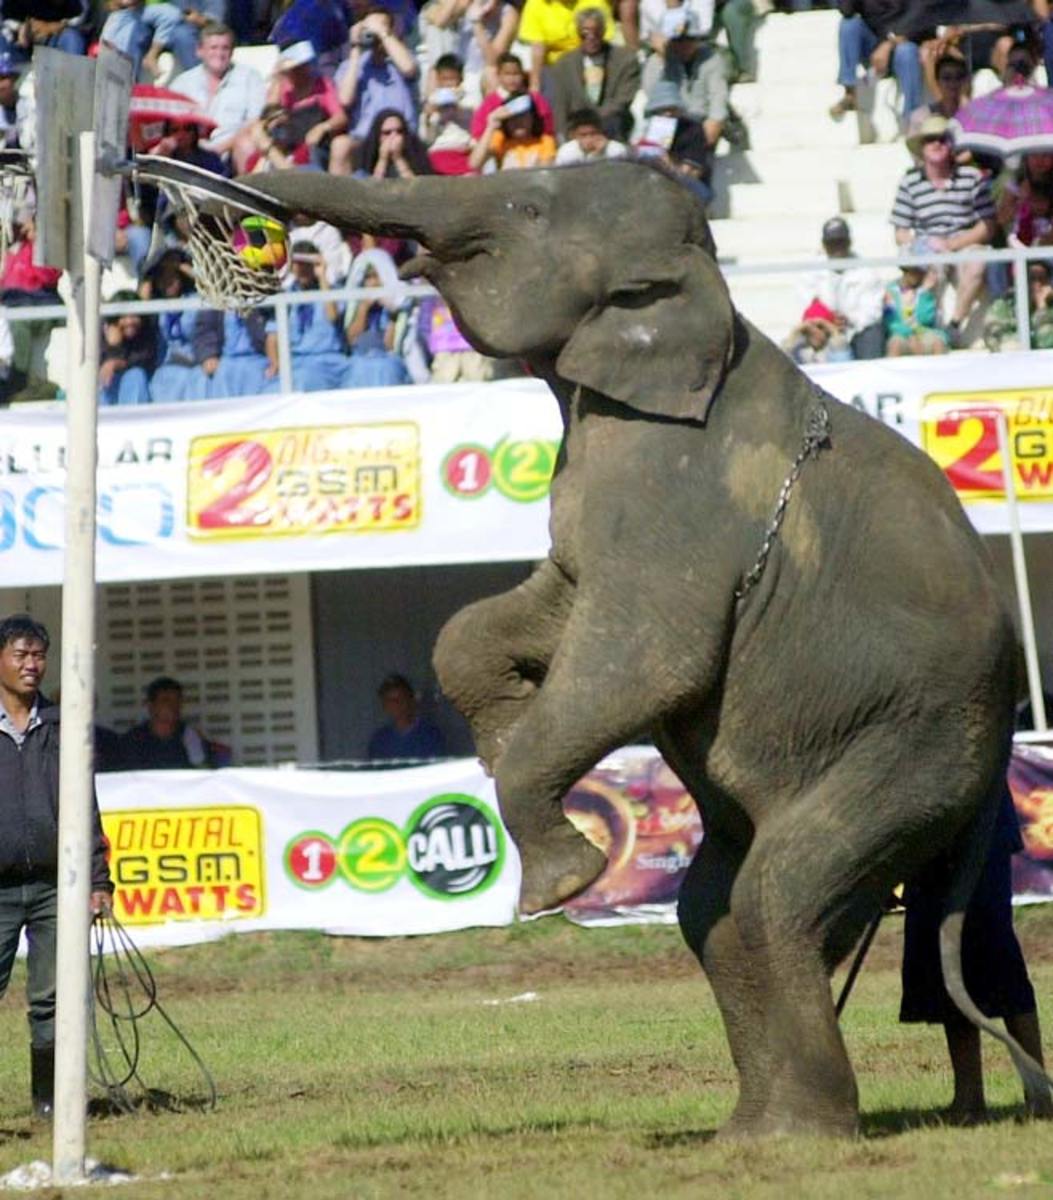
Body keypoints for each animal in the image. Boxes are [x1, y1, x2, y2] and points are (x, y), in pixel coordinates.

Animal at [240, 160, 1050, 1137]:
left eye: (526, 207)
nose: (242, 199)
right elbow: (507, 618)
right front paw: (499, 739)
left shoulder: (679, 492)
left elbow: (649, 662)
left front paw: (557, 884)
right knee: (716, 915)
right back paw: (749, 1132)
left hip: (917, 743)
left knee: (775, 893)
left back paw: (803, 1135)